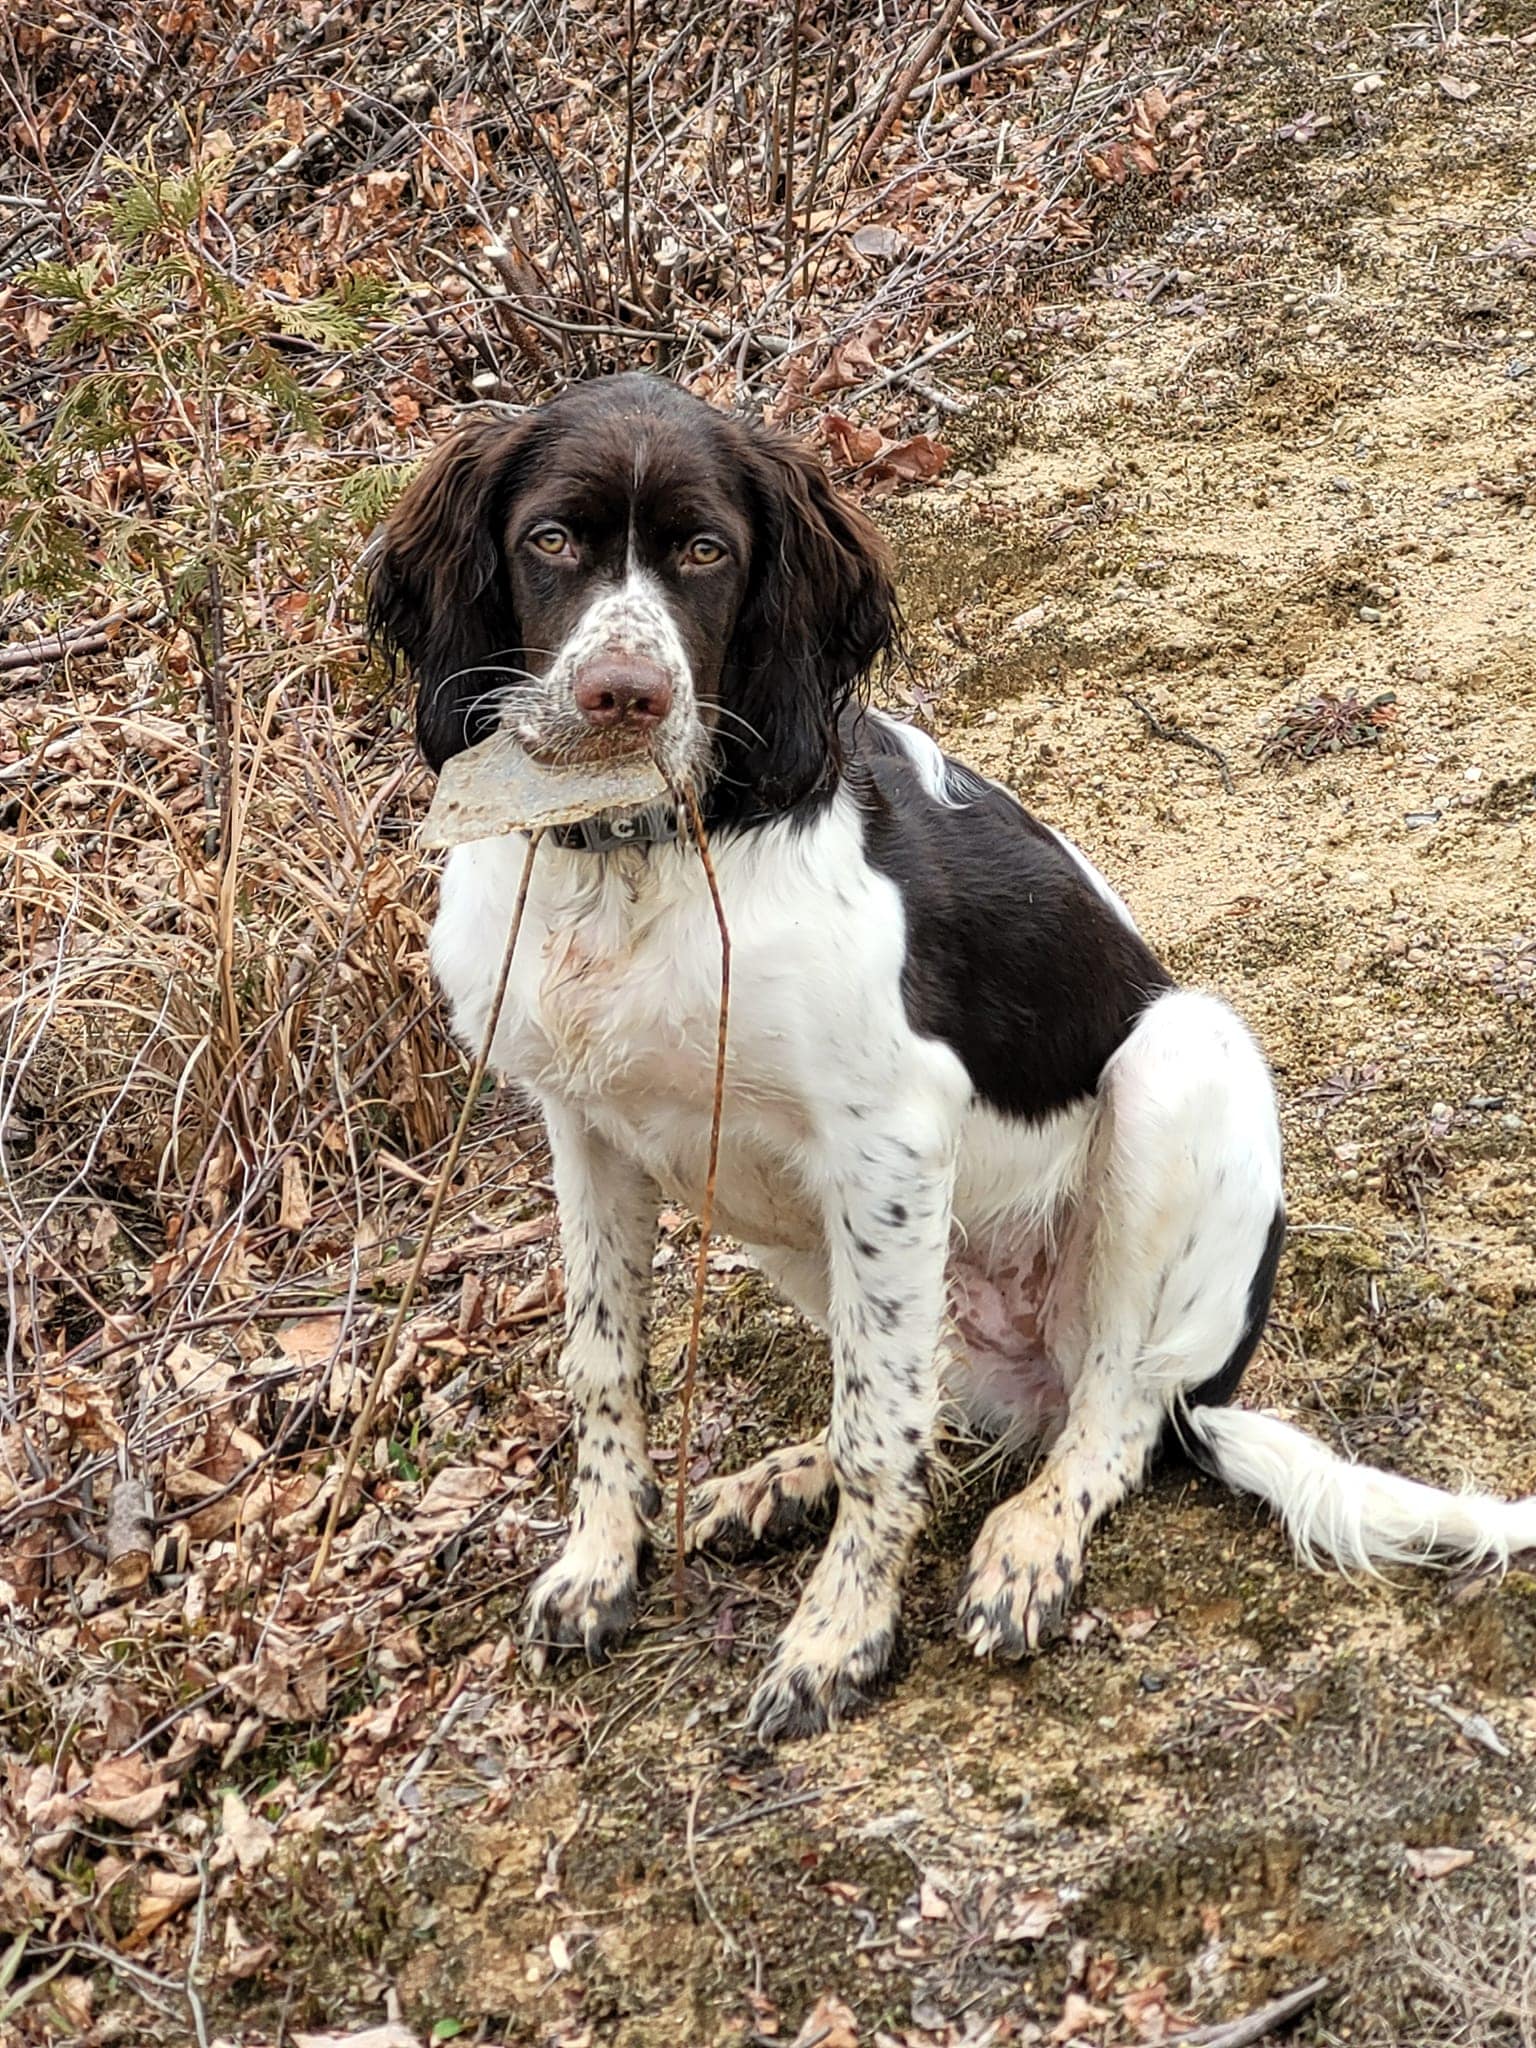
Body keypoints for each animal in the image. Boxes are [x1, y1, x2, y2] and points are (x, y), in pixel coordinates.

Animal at [370, 372, 1536, 1744]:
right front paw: (601, 1566)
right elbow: (607, 1364)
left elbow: (883, 1434)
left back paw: (1030, 1542)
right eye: (550, 538)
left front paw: (839, 1636)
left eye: (708, 551)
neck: (634, 860)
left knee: (1105, 1417)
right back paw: (785, 1479)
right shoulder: (587, 1127)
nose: (623, 694)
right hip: (813, 1232)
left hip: (1178, 1065)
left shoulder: (890, 1131)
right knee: (931, 1389)